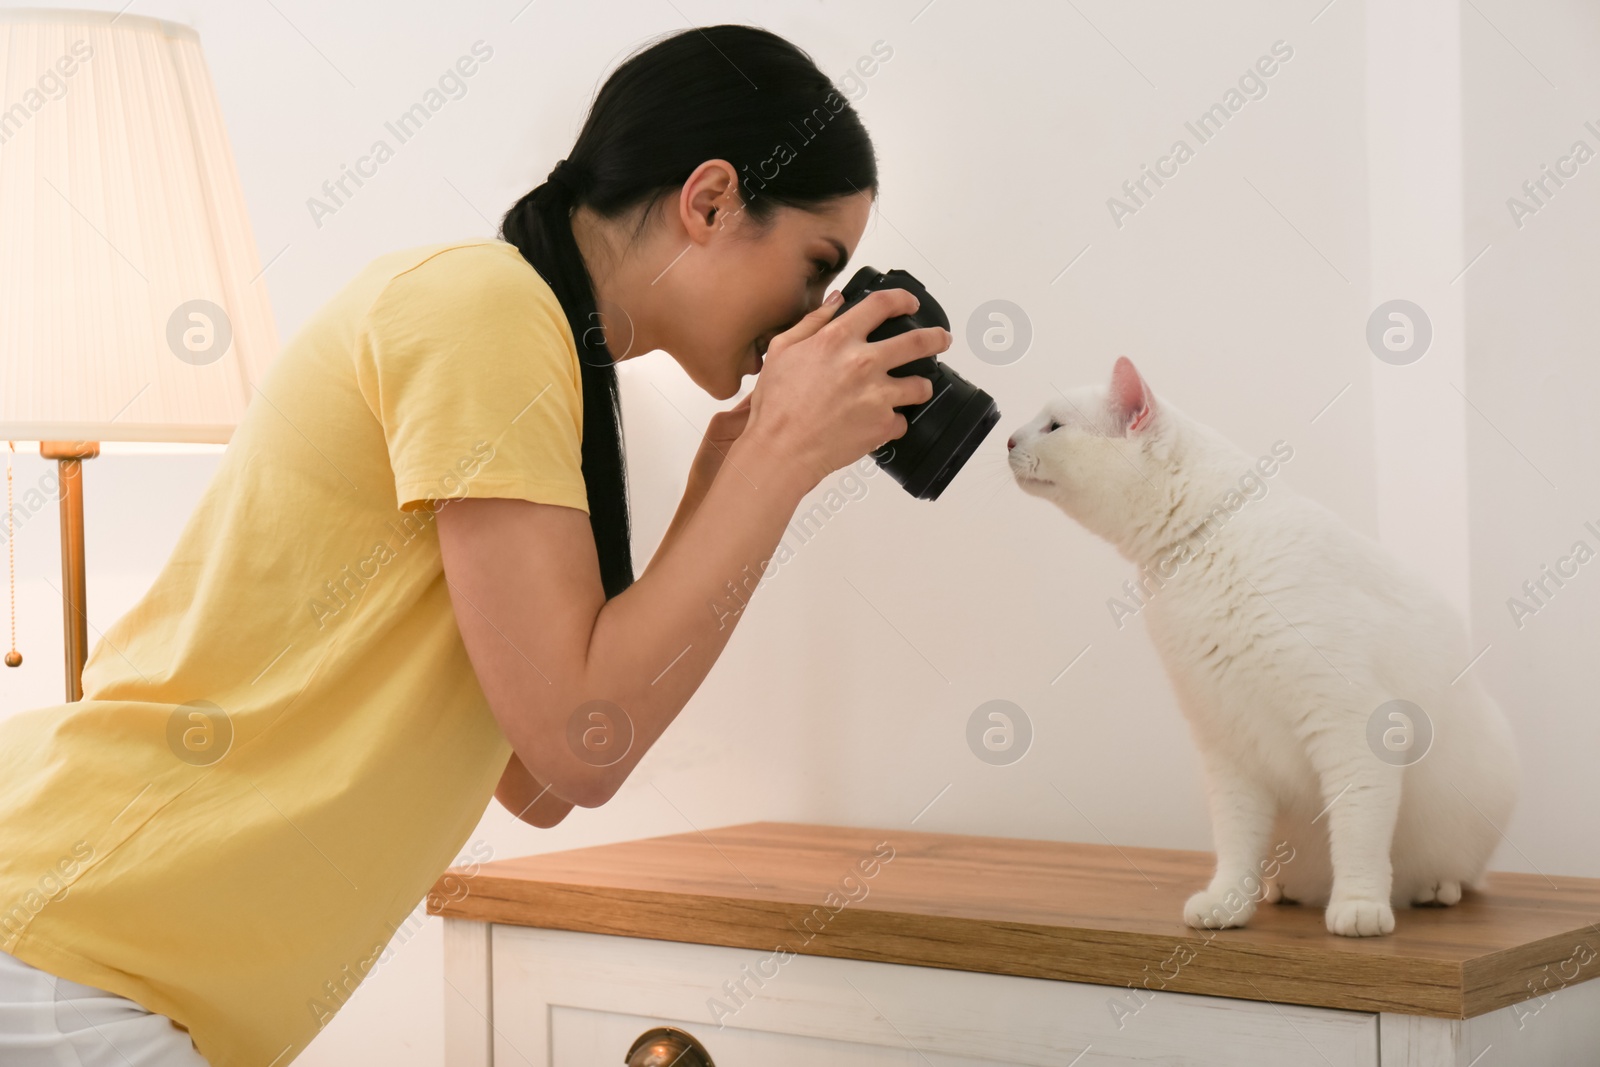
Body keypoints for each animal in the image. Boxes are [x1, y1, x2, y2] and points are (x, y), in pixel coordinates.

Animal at [1004, 356, 1516, 934]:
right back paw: (1283, 890)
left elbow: (1358, 833)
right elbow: (1235, 839)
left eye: (1054, 426)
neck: (1203, 552)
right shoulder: (1227, 745)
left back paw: (1431, 888)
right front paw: (1227, 902)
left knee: (1456, 875)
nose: (1007, 439)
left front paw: (1359, 906)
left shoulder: (1352, 725)